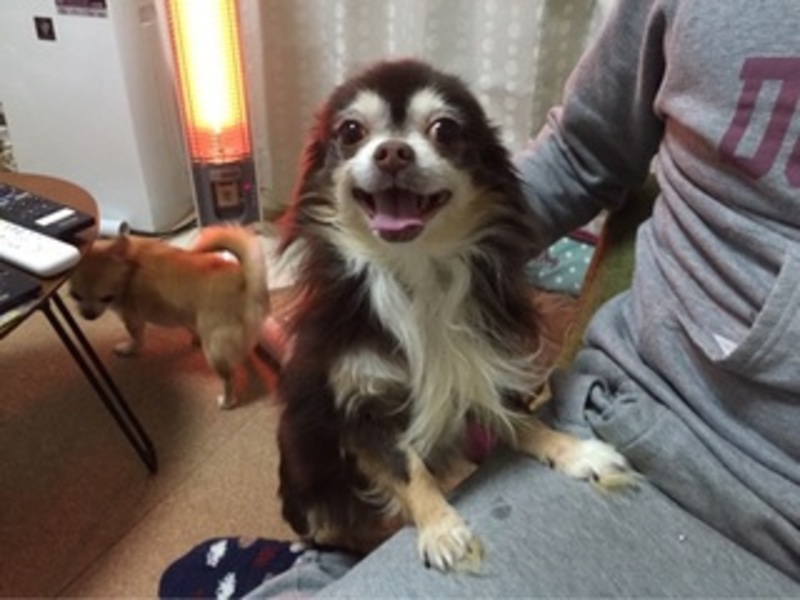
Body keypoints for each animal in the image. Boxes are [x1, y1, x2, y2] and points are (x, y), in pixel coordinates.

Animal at [69, 226, 269, 409]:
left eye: (106, 298)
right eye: (75, 296)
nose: (88, 315)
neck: (128, 265)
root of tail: (244, 281)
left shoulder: (132, 318)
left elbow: (136, 339)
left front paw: (127, 349)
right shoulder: (186, 314)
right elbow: (190, 327)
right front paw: (195, 339)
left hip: (215, 349)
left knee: (228, 378)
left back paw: (227, 402)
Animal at [274, 59, 630, 573]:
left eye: (444, 129)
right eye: (351, 130)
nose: (393, 153)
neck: (415, 271)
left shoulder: (481, 367)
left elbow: (525, 423)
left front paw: (575, 452)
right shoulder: (363, 409)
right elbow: (409, 470)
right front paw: (441, 529)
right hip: (312, 487)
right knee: (330, 526)